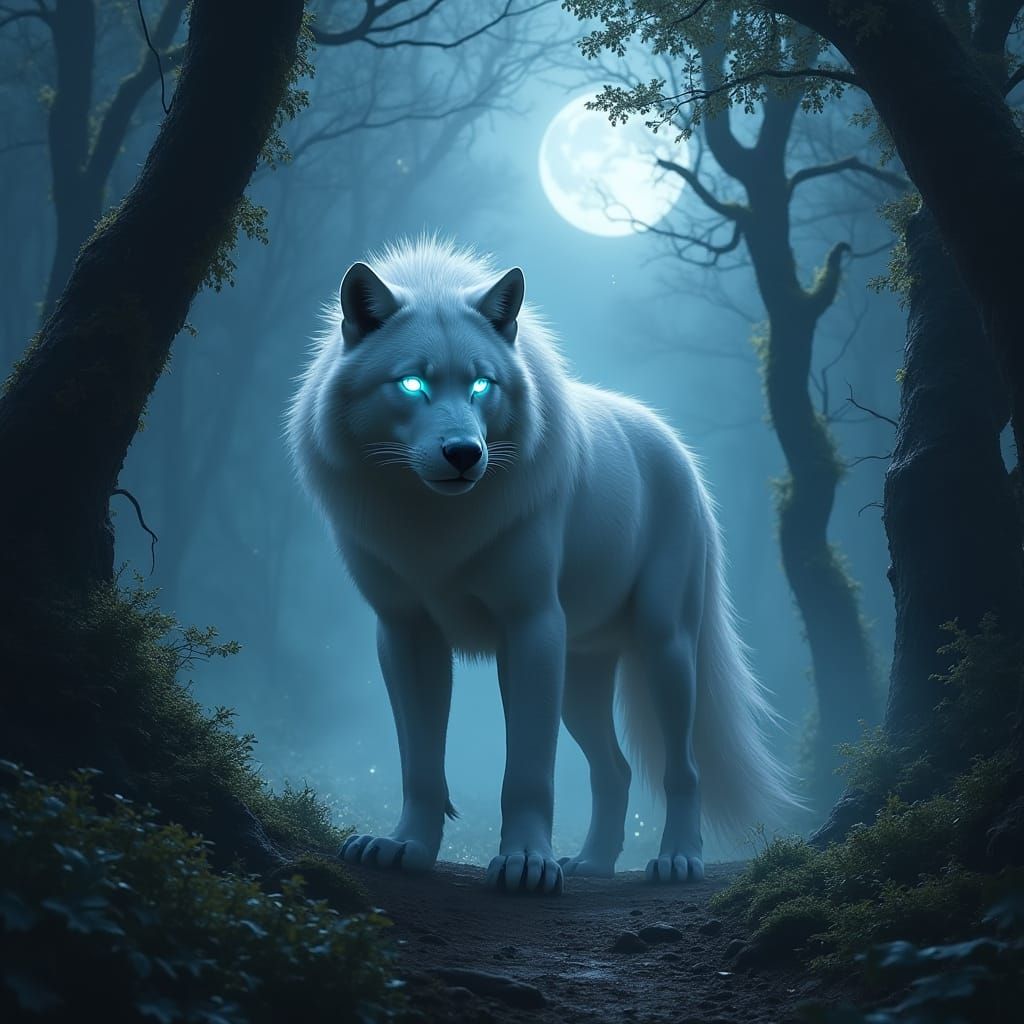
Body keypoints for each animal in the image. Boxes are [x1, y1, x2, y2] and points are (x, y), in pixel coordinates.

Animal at [287, 238, 798, 894]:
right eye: (412, 383)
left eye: (481, 385)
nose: (464, 453)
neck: (435, 526)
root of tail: (677, 447)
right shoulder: (405, 634)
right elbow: (420, 765)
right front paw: (407, 847)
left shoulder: (530, 627)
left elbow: (527, 771)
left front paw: (526, 863)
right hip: (579, 677)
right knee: (615, 769)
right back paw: (593, 865)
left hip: (665, 648)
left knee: (683, 769)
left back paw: (678, 861)